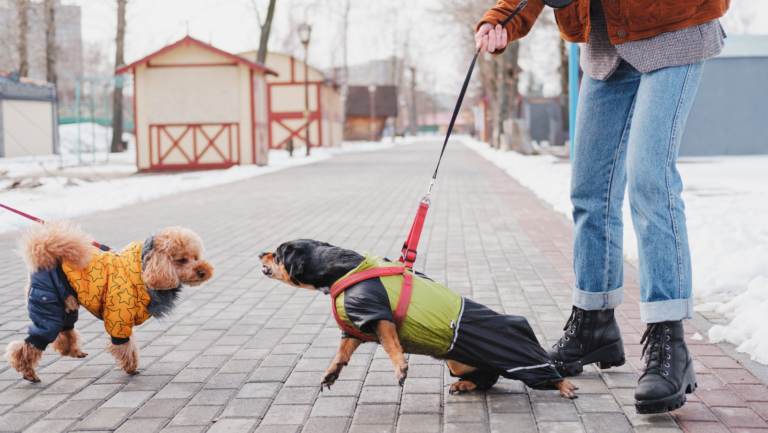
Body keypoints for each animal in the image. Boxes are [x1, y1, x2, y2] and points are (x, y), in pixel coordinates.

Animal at [260, 238, 576, 396]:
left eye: (277, 254)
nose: (259, 253)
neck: (341, 269)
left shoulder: (378, 315)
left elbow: (391, 345)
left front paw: (400, 368)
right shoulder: (356, 326)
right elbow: (341, 353)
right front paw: (330, 374)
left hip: (520, 358)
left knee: (544, 372)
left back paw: (565, 386)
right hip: (458, 362)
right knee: (488, 379)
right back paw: (464, 385)